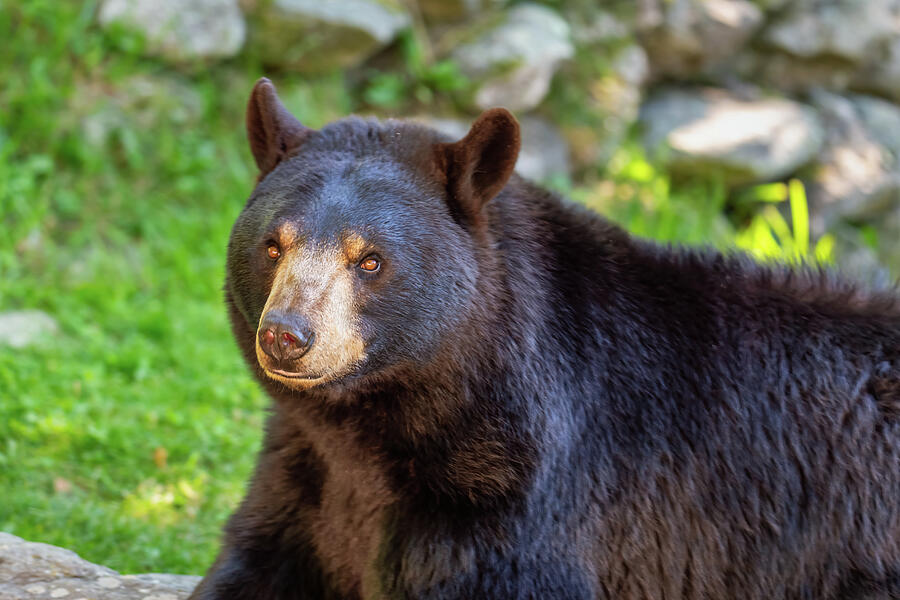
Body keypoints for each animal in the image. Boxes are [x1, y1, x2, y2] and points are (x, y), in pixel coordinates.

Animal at [190, 79, 900, 600]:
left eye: (369, 260)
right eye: (272, 245)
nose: (287, 336)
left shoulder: (513, 498)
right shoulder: (306, 477)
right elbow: (256, 563)